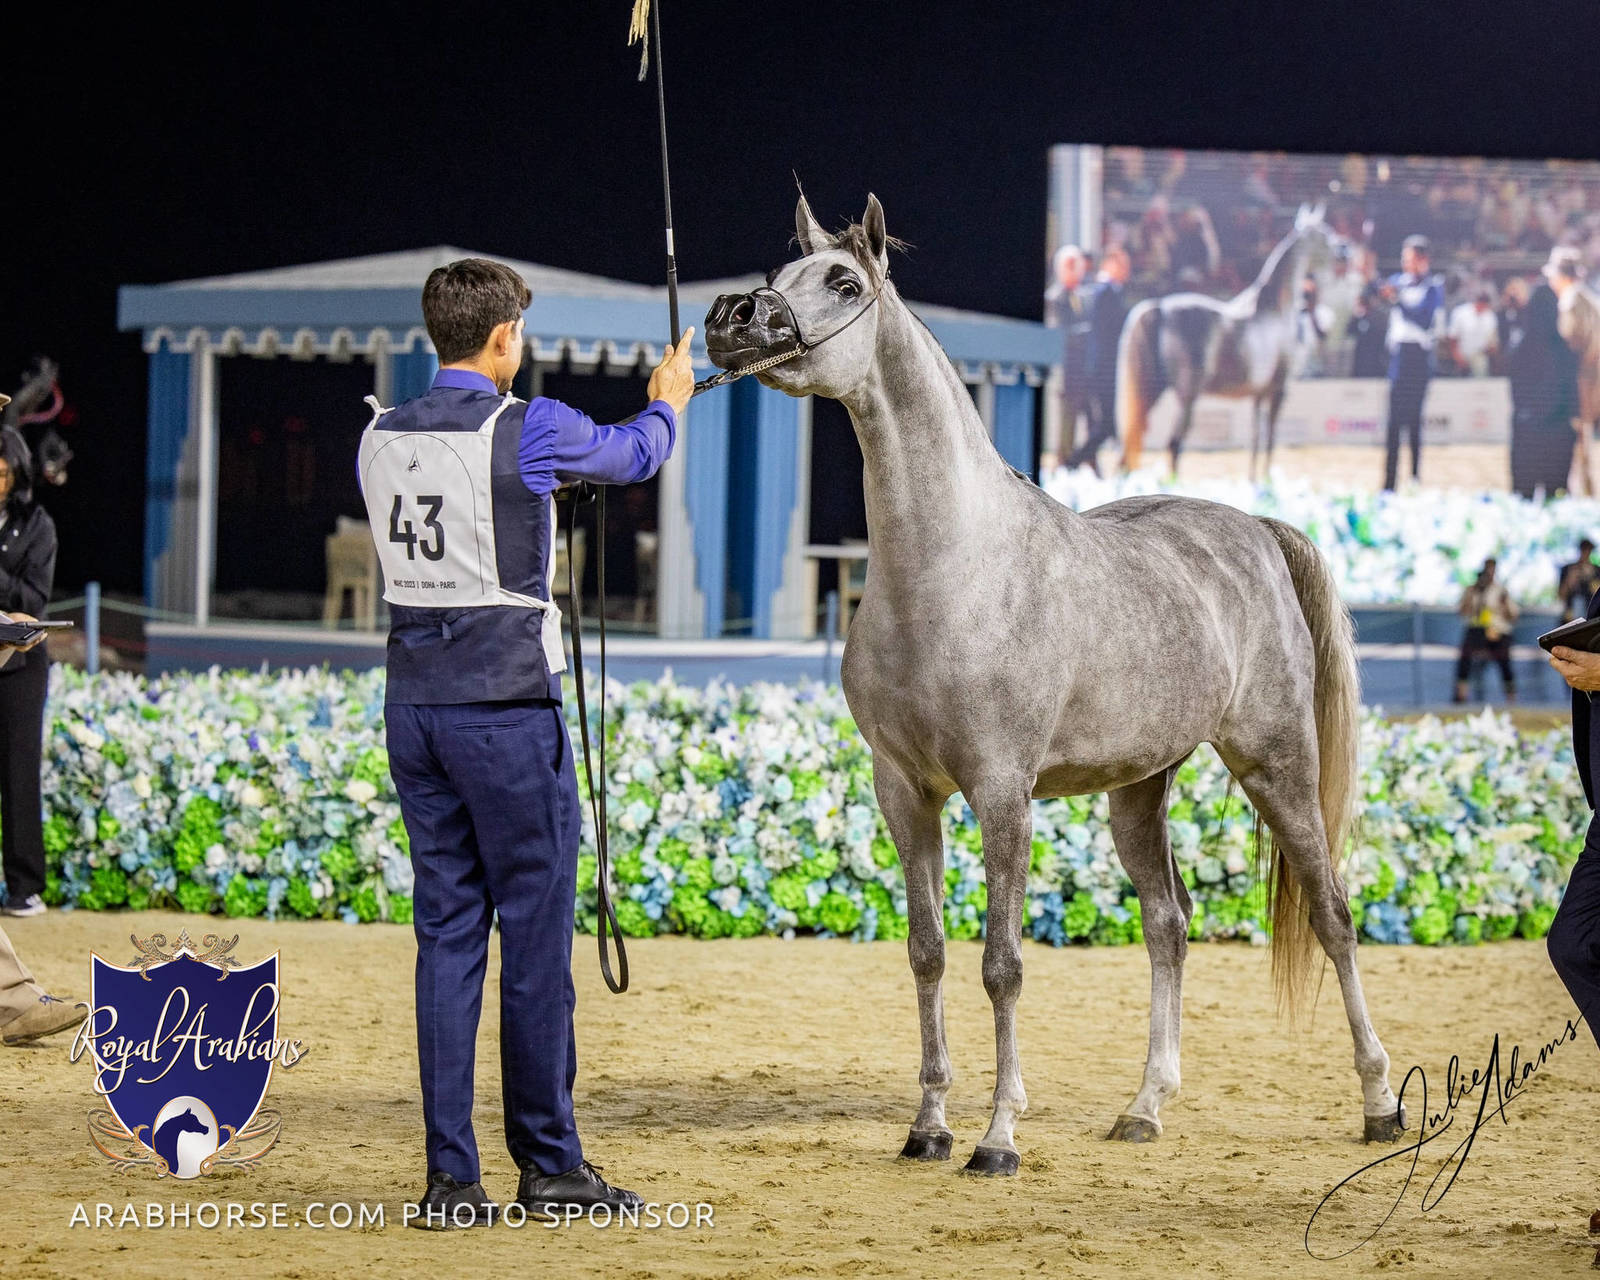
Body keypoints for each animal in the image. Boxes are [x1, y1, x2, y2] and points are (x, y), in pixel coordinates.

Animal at [1117, 206, 1344, 480]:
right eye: (1325, 233)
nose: (1344, 251)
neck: (1275, 308)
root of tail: (1160, 307)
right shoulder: (1279, 390)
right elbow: (1270, 439)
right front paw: (1267, 480)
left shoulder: (1259, 394)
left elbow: (1256, 439)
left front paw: (1254, 480)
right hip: (1186, 396)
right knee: (1173, 443)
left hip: (1152, 391)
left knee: (1130, 443)